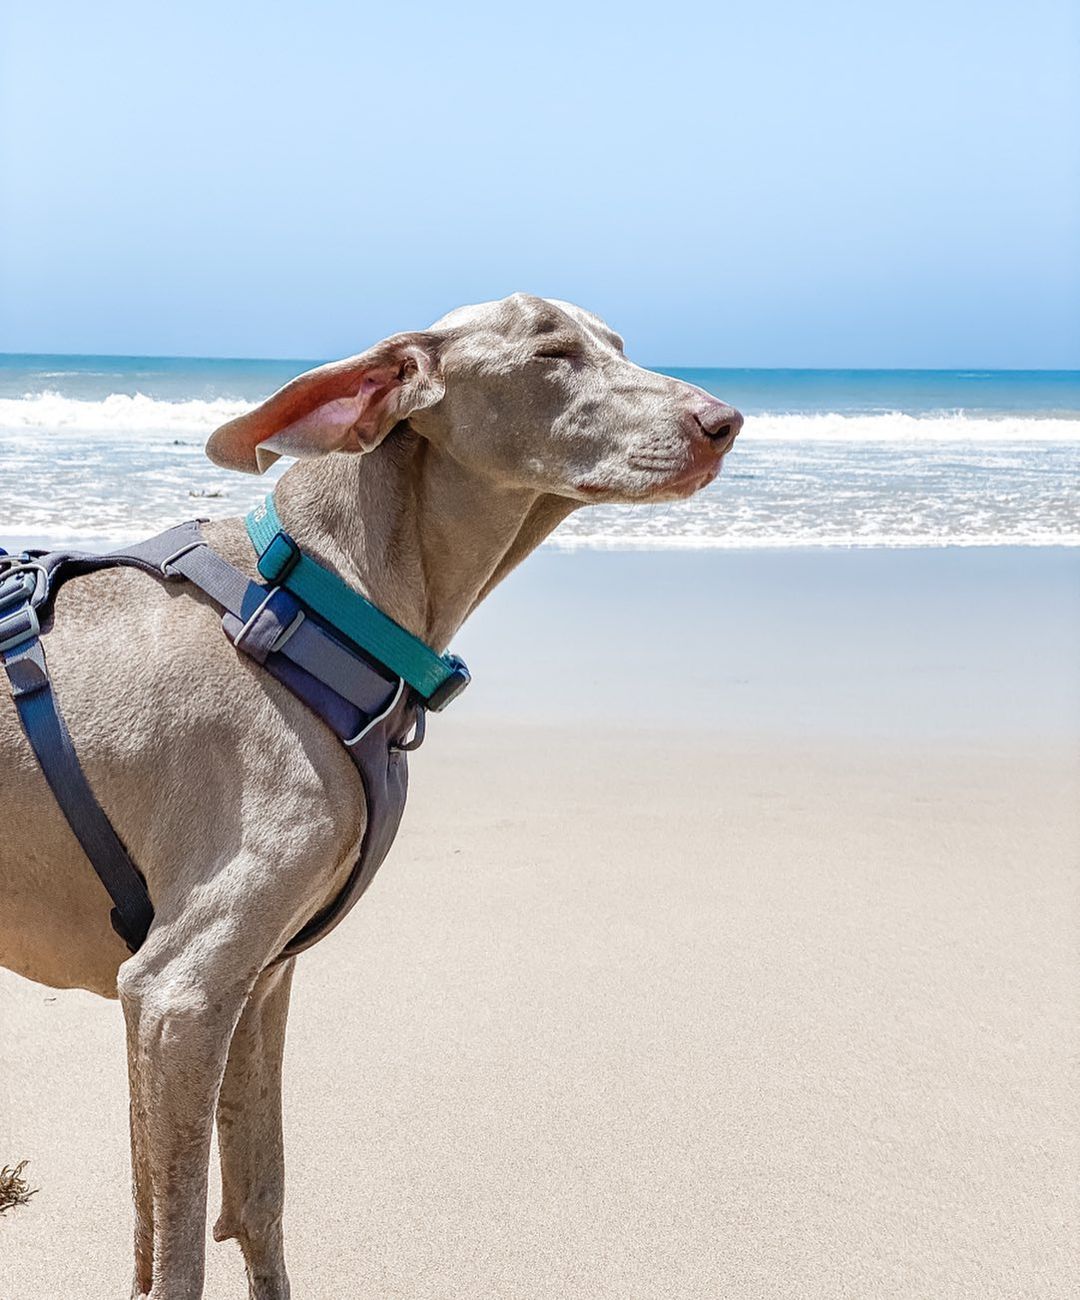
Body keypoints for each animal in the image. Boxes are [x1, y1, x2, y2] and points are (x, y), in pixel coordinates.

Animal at [0, 289, 743, 1294]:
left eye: (618, 344)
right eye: (551, 351)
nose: (723, 422)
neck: (318, 603)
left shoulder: (259, 982)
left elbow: (254, 1204)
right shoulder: (177, 992)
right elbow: (179, 1254)